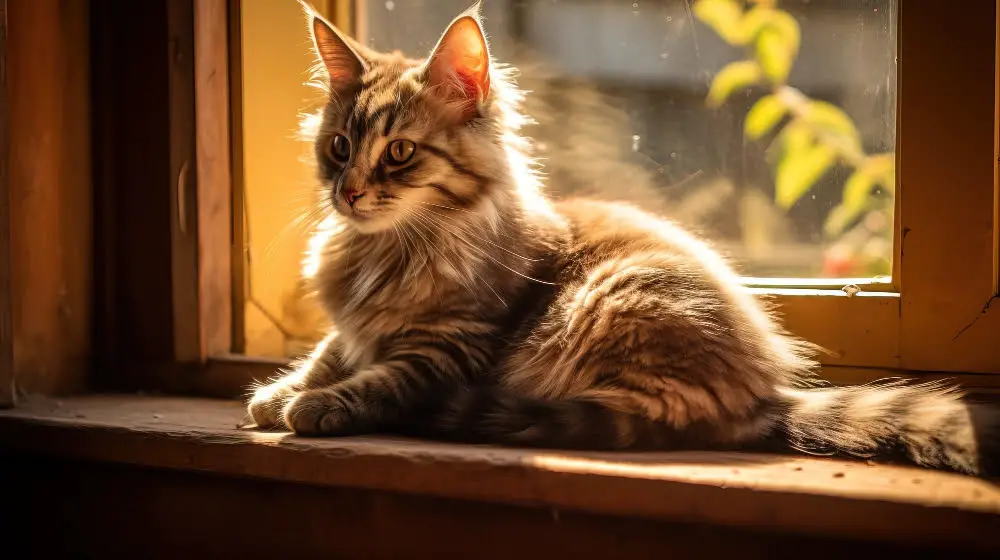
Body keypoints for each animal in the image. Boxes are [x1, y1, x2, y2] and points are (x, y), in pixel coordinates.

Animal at [246, 1, 996, 476]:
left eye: (399, 153)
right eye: (339, 148)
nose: (347, 194)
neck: (386, 249)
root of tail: (767, 389)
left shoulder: (451, 346)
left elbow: (377, 377)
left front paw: (312, 406)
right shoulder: (353, 328)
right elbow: (328, 351)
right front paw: (276, 394)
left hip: (607, 303)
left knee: (661, 420)